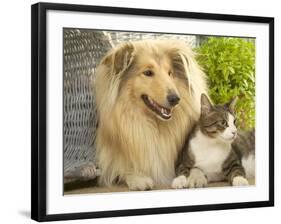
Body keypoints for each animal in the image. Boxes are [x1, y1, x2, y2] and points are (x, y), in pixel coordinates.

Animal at [93, 39, 206, 190]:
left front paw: (197, 176)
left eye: (170, 73)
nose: (175, 99)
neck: (154, 126)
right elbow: (122, 168)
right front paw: (138, 178)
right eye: (147, 72)